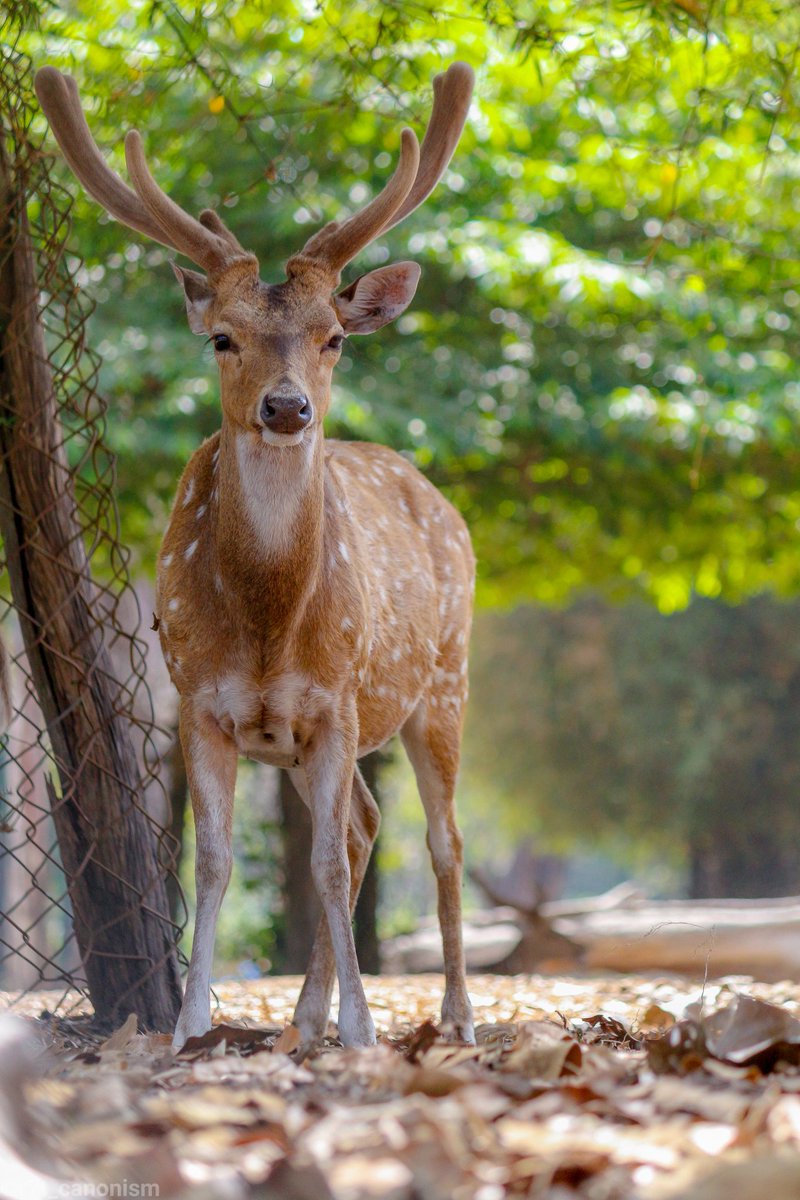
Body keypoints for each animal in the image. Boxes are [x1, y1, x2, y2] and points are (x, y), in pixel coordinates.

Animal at [35, 62, 476, 1053]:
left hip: (446, 677)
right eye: (221, 336)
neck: (273, 622)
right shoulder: (201, 699)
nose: (285, 407)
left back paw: (457, 1018)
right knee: (365, 825)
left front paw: (362, 1029)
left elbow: (320, 865)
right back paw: (301, 1020)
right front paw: (191, 1023)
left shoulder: (338, 695)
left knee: (440, 839)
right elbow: (215, 860)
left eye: (334, 338)